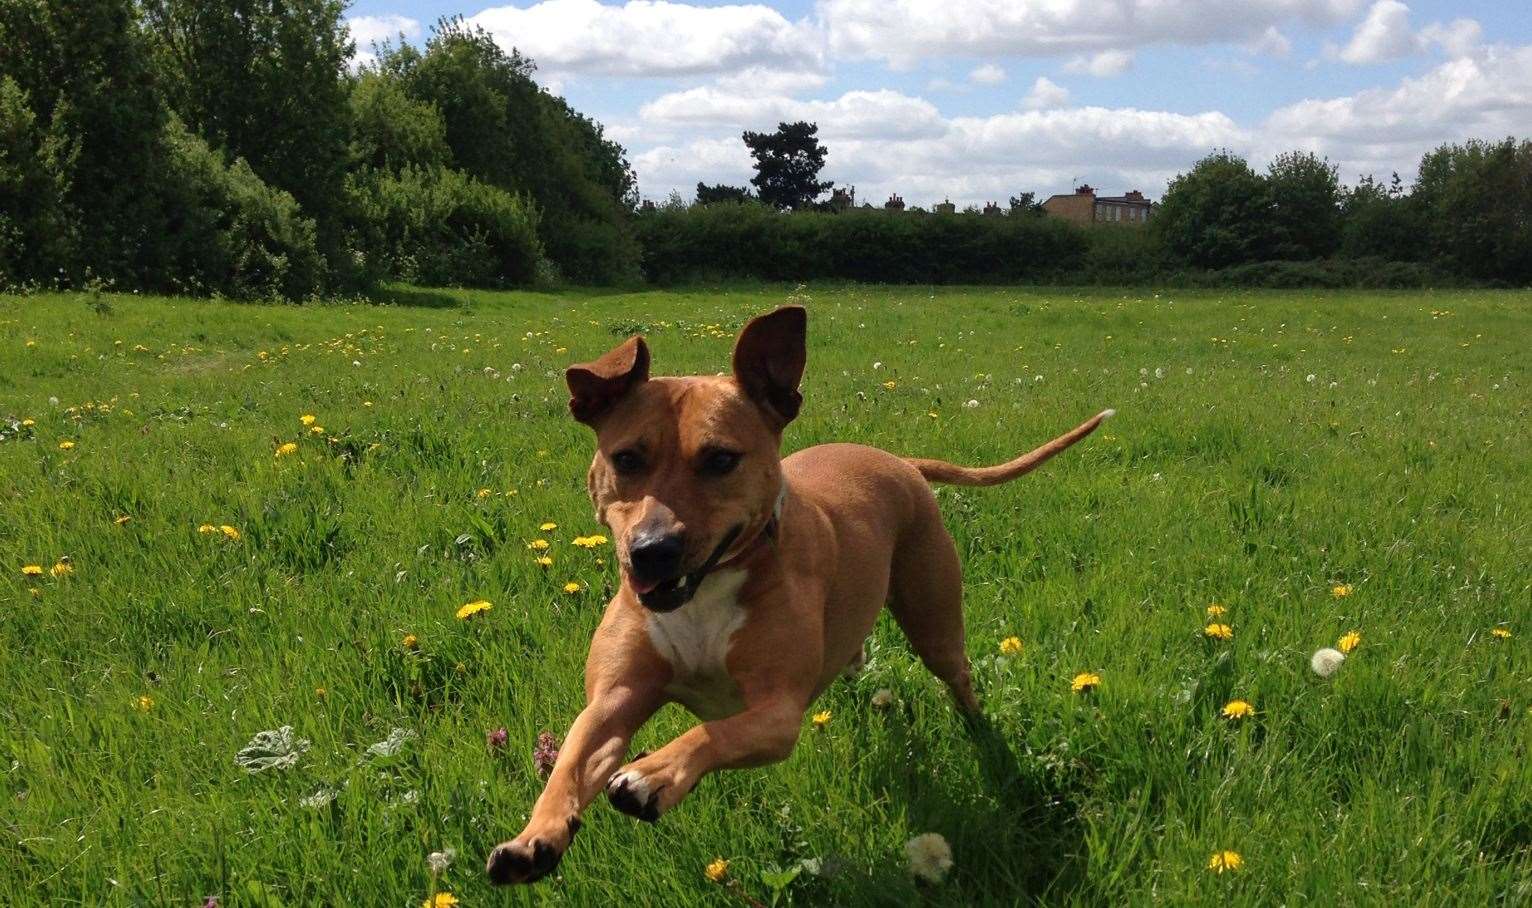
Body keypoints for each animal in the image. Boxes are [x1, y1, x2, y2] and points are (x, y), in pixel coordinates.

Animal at [484, 303, 1109, 875]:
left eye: (721, 459)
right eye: (626, 458)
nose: (652, 549)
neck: (706, 594)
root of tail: (900, 462)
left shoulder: (776, 712)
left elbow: (711, 731)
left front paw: (652, 772)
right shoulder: (614, 699)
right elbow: (571, 761)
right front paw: (535, 836)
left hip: (934, 616)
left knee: (957, 675)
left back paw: (977, 726)